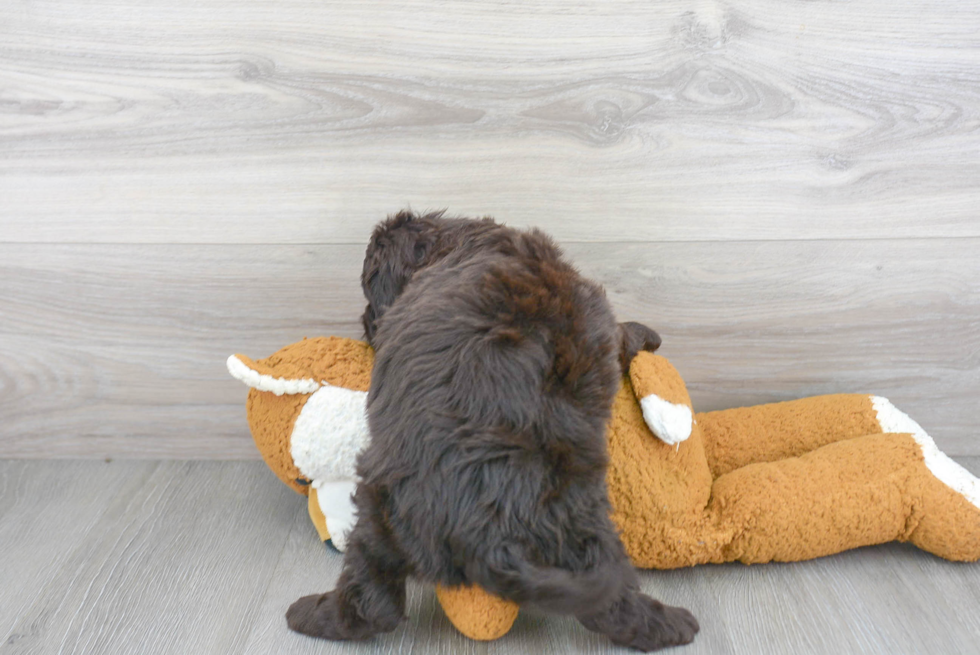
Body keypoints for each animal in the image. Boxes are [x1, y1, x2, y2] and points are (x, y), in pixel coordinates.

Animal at [286, 214, 696, 652]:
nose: (366, 325)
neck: (460, 243)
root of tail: (488, 530)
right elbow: (621, 334)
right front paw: (646, 334)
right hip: (579, 529)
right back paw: (672, 625)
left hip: (378, 516)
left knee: (371, 600)